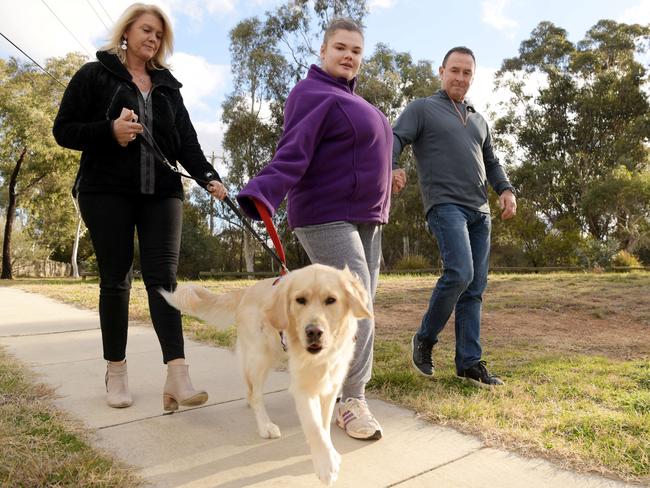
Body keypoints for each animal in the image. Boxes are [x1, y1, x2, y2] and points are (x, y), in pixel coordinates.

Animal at [161, 264, 370, 486]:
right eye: (300, 300)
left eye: (331, 300)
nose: (313, 332)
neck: (318, 357)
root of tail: (246, 291)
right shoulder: (302, 387)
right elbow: (314, 427)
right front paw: (325, 465)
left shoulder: (330, 383)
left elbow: (323, 423)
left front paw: (329, 454)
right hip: (259, 358)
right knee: (256, 394)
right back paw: (265, 426)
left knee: (251, 390)